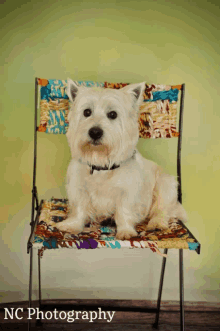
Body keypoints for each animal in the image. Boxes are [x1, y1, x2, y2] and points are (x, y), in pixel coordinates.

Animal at [55, 78, 187, 239]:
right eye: (87, 112)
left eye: (112, 114)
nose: (95, 132)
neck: (101, 163)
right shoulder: (78, 187)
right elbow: (79, 208)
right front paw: (72, 225)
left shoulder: (128, 191)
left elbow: (124, 211)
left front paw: (125, 231)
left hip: (165, 184)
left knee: (162, 210)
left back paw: (156, 224)